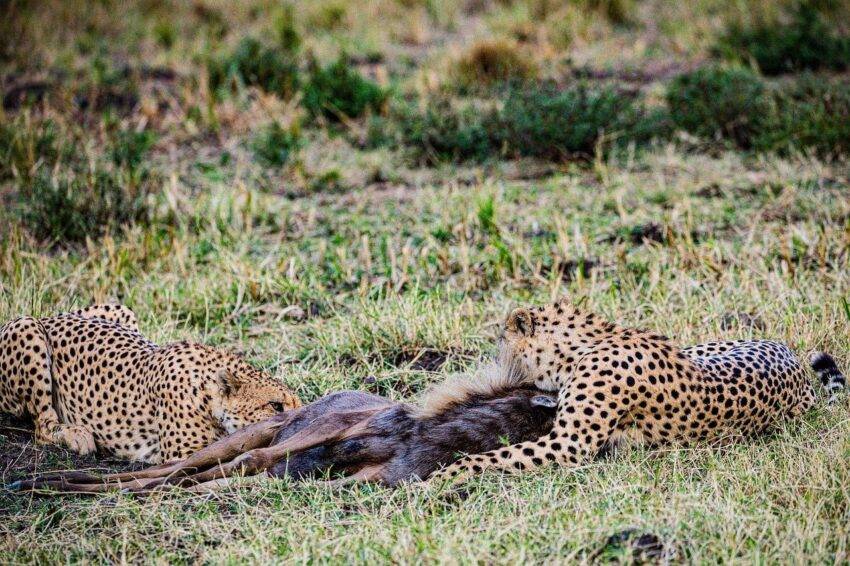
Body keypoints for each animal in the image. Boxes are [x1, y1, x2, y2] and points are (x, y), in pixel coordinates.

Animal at [0, 308, 300, 464]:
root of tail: (49, 316)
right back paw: (76, 435)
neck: (206, 391)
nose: (300, 418)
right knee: (42, 426)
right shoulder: (183, 456)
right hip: (26, 327)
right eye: (275, 405)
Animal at [434, 300, 844, 482]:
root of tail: (792, 359)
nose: (495, 361)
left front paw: (440, 478)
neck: (581, 349)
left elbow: (486, 457)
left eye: (501, 341)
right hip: (698, 349)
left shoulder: (570, 445)